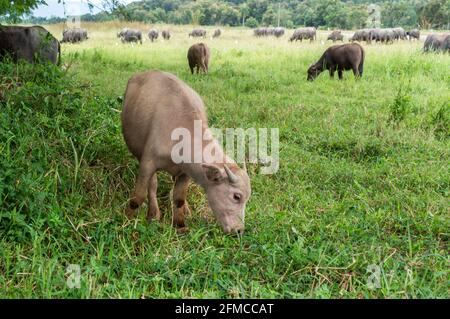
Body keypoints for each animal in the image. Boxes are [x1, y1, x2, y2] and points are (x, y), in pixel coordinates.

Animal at [121, 70, 251, 235]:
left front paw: (180, 224)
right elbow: (138, 197)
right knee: (153, 185)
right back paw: (154, 213)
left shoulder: (185, 172)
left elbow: (178, 199)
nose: (239, 230)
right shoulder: (147, 163)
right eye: (236, 196)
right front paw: (127, 219)